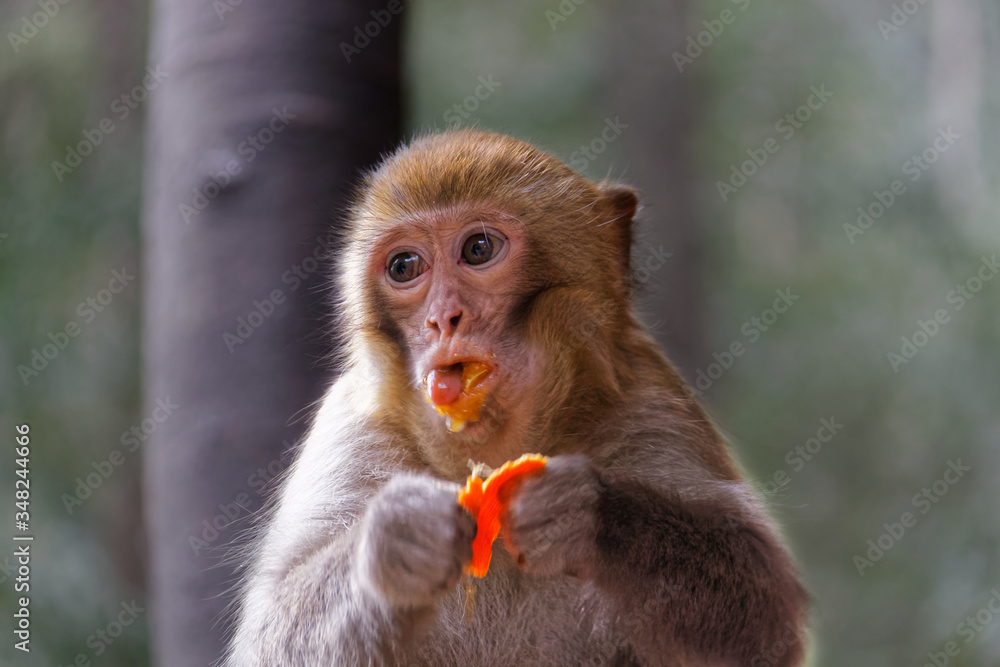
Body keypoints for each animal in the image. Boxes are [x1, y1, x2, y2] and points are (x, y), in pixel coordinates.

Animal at [224, 129, 809, 666]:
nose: (443, 319)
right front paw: (396, 539)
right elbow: (269, 637)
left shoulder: (649, 400)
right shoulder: (353, 427)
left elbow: (764, 616)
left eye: (478, 250)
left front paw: (584, 512)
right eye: (404, 267)